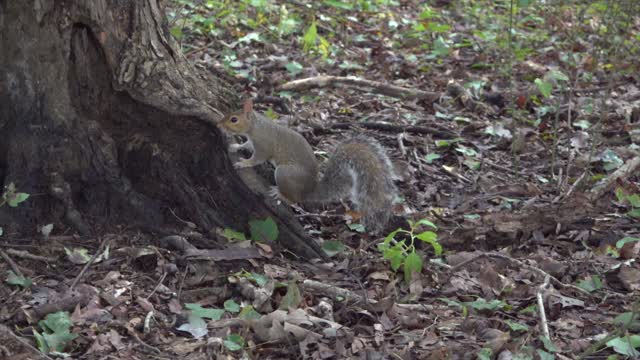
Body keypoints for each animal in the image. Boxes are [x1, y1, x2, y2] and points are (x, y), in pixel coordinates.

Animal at [220, 98, 400, 233]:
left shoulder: (263, 145)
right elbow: (246, 145)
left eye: (234, 119)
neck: (256, 126)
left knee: (294, 199)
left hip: (284, 173)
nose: (219, 125)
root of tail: (309, 190)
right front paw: (236, 146)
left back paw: (280, 193)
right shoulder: (252, 141)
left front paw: (244, 162)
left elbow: (257, 158)